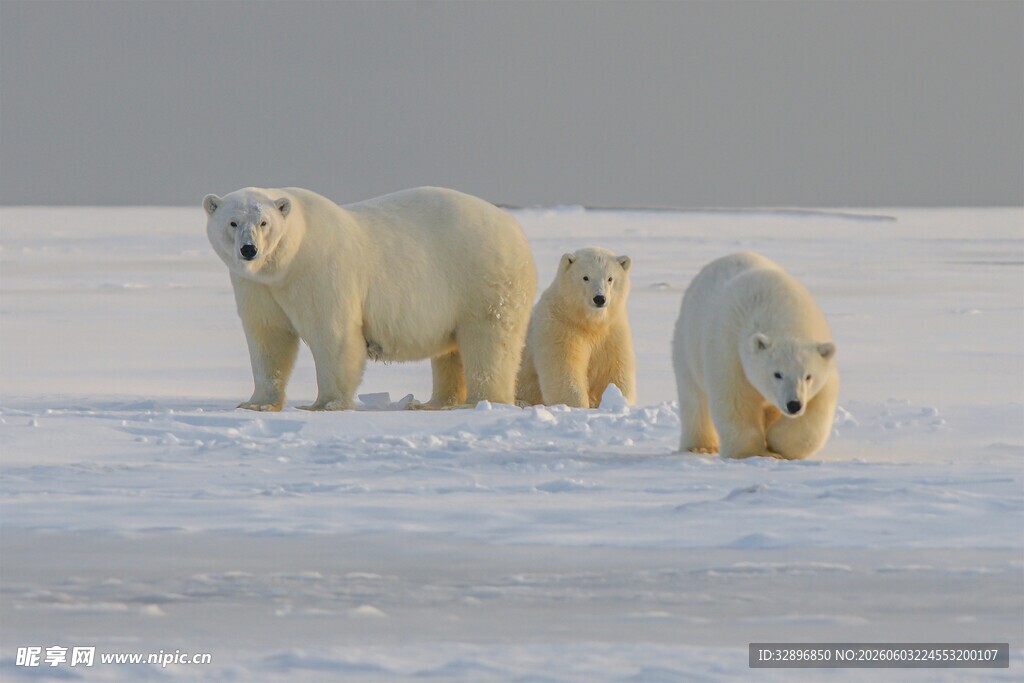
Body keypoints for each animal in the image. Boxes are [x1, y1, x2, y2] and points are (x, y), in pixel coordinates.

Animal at [203, 186, 537, 411]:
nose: (249, 250)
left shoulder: (320, 271)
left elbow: (333, 334)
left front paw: (325, 404)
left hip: (482, 279)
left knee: (489, 341)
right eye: (232, 222)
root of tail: (515, 229)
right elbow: (268, 337)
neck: (287, 262)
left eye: (264, 223)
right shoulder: (257, 286)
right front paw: (256, 403)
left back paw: (482, 401)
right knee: (451, 352)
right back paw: (434, 402)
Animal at [516, 247, 636, 408]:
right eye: (585, 277)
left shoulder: (612, 332)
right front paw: (578, 405)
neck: (588, 322)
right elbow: (564, 370)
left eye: (610, 278)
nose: (599, 298)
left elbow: (614, 370)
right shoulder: (560, 327)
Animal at [671, 252, 838, 459]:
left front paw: (776, 443)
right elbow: (736, 401)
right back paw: (700, 446)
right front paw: (752, 452)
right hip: (687, 344)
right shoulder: (730, 352)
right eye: (777, 374)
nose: (794, 405)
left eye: (808, 376)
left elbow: (817, 410)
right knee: (694, 398)